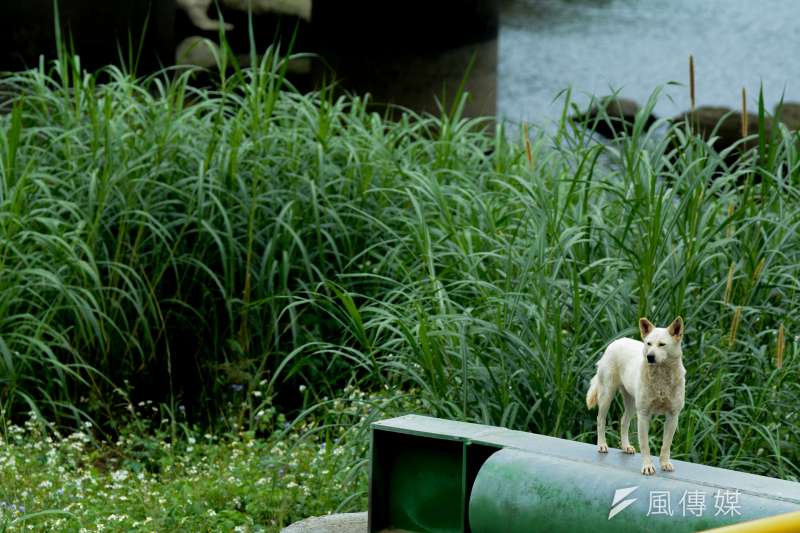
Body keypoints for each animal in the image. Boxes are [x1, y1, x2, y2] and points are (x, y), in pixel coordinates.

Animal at [584, 316, 684, 474]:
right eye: (648, 344)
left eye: (662, 344)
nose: (650, 356)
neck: (661, 378)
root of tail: (616, 341)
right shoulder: (643, 415)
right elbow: (645, 445)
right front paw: (648, 467)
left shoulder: (673, 416)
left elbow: (666, 445)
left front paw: (665, 463)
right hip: (607, 395)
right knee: (600, 419)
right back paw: (602, 445)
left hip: (631, 404)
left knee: (623, 421)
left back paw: (626, 446)